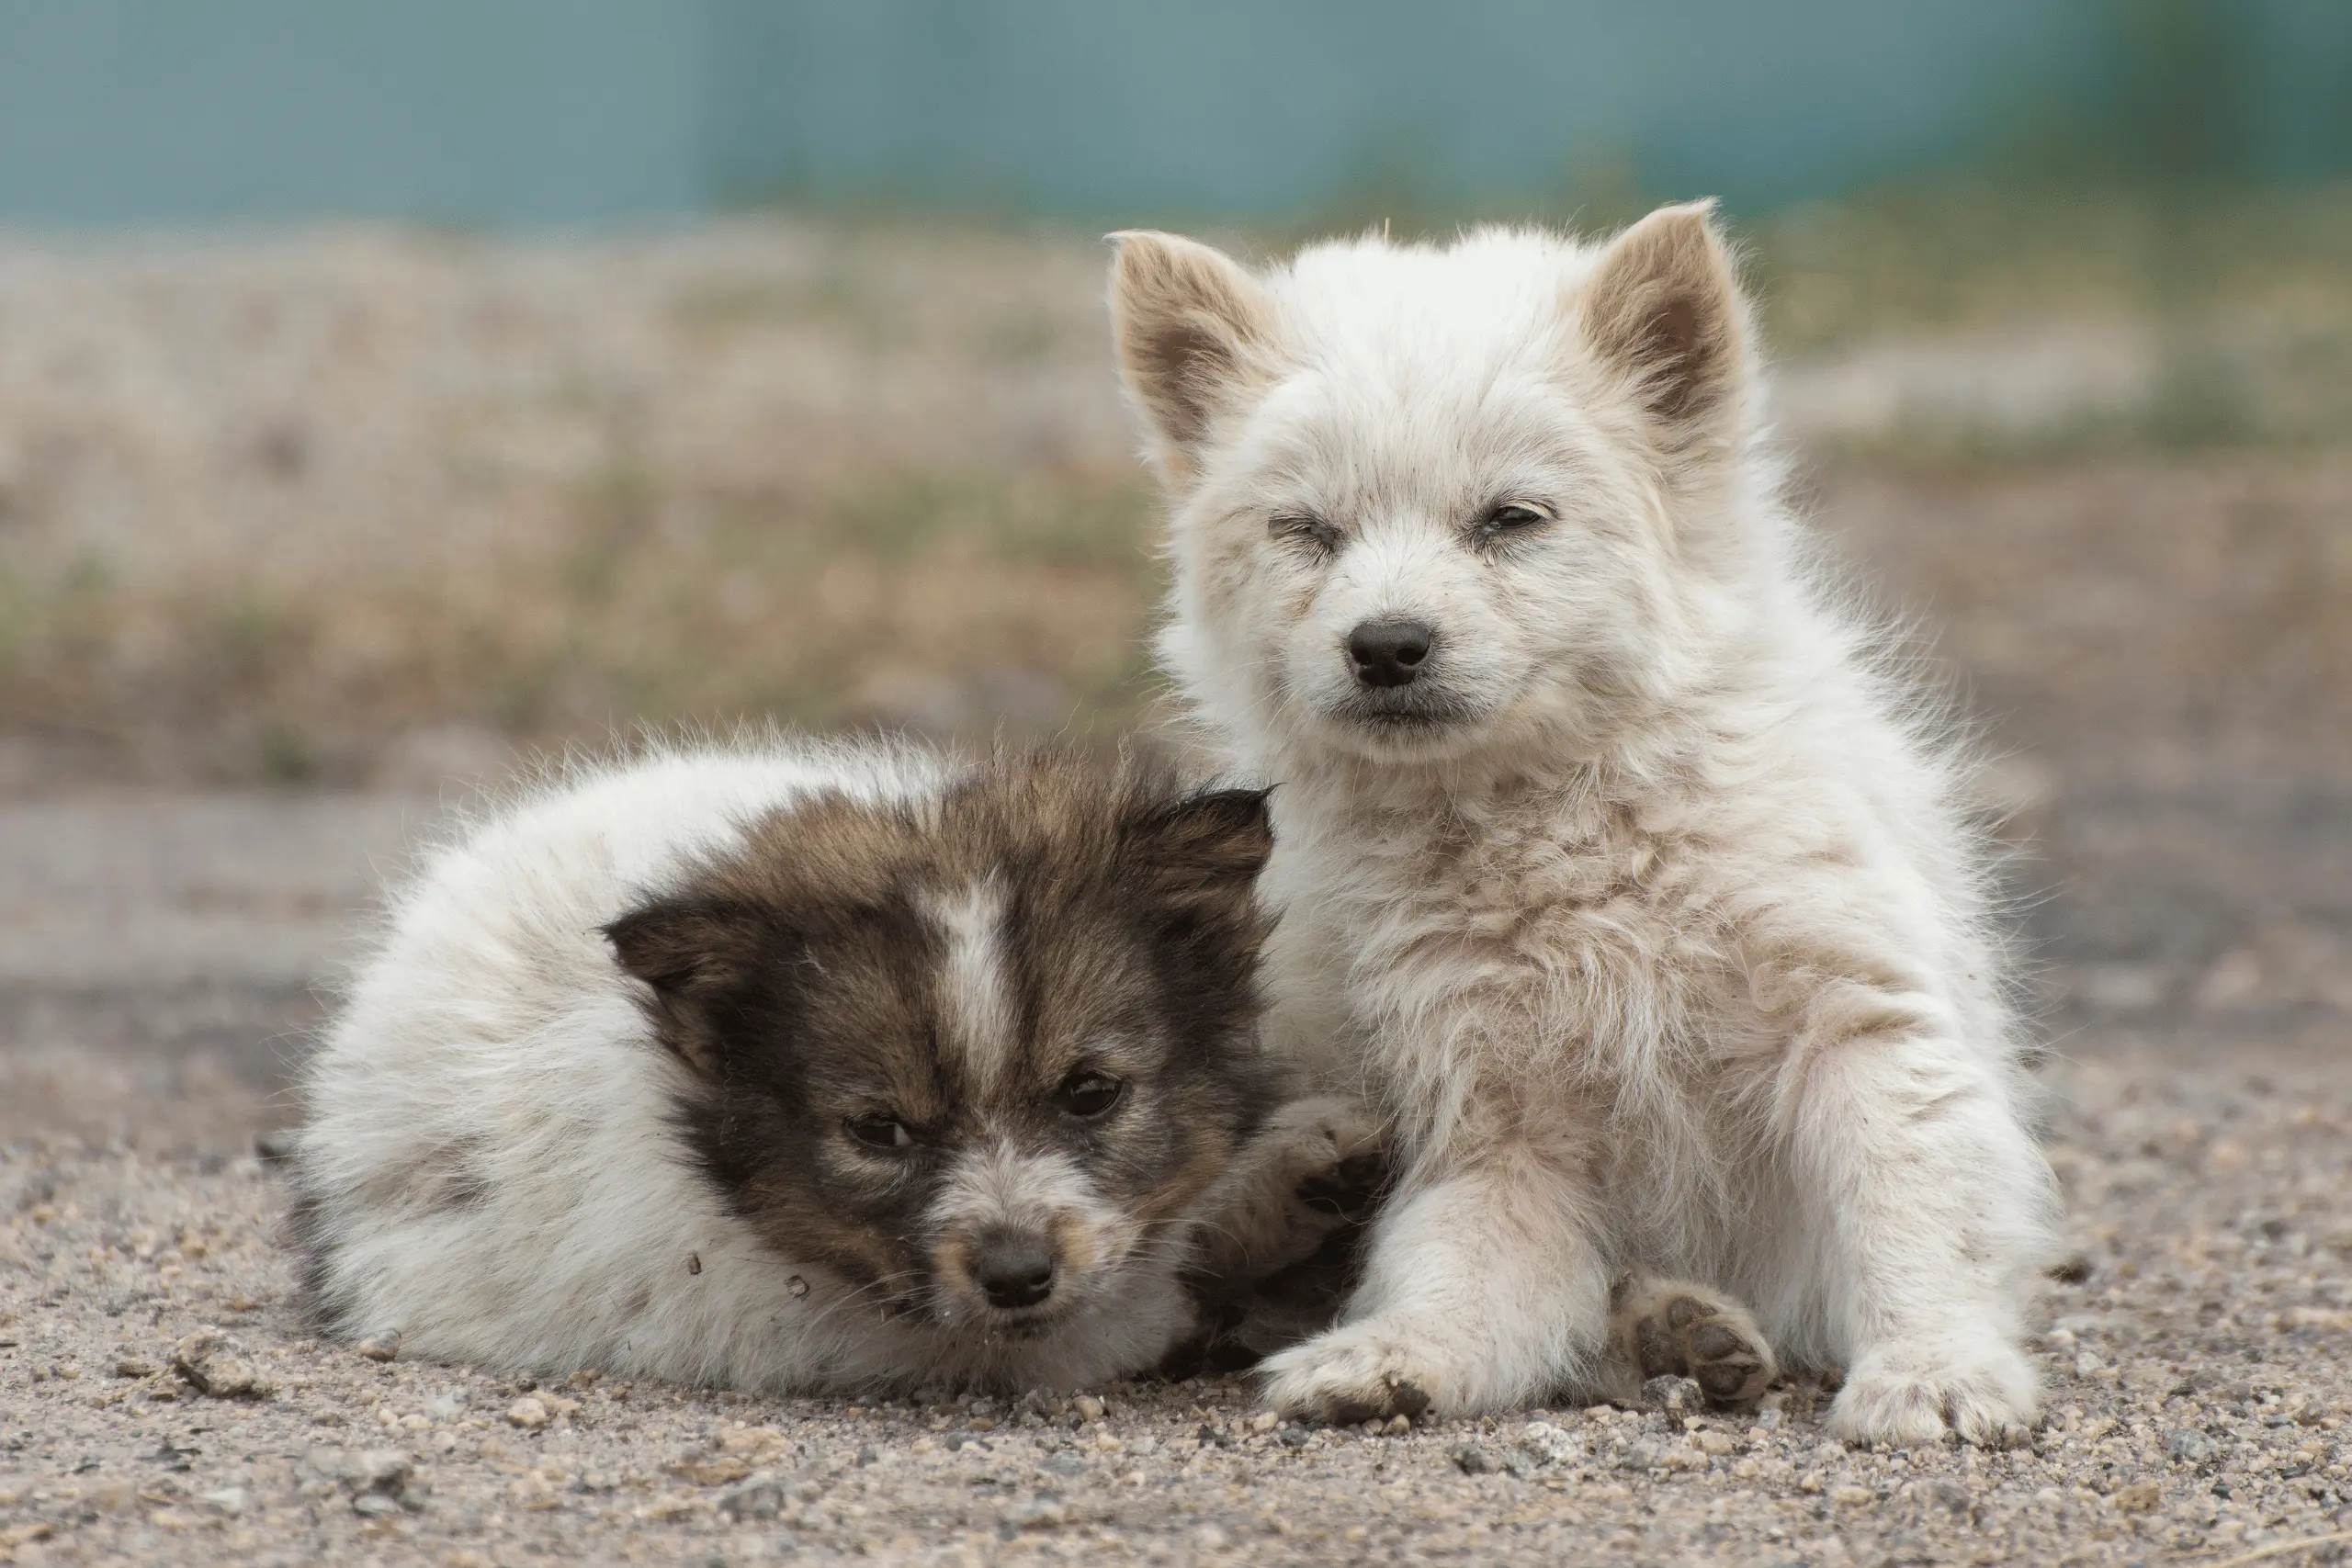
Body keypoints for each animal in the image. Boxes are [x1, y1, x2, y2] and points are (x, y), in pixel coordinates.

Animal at [1101, 202, 2060, 1438]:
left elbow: (1913, 1202)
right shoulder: (1496, 1110)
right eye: (1306, 530)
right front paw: (1395, 1355)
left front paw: (1935, 1369)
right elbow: (1460, 1267)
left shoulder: (1856, 1020)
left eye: (1511, 520)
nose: (1385, 646)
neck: (1559, 818)